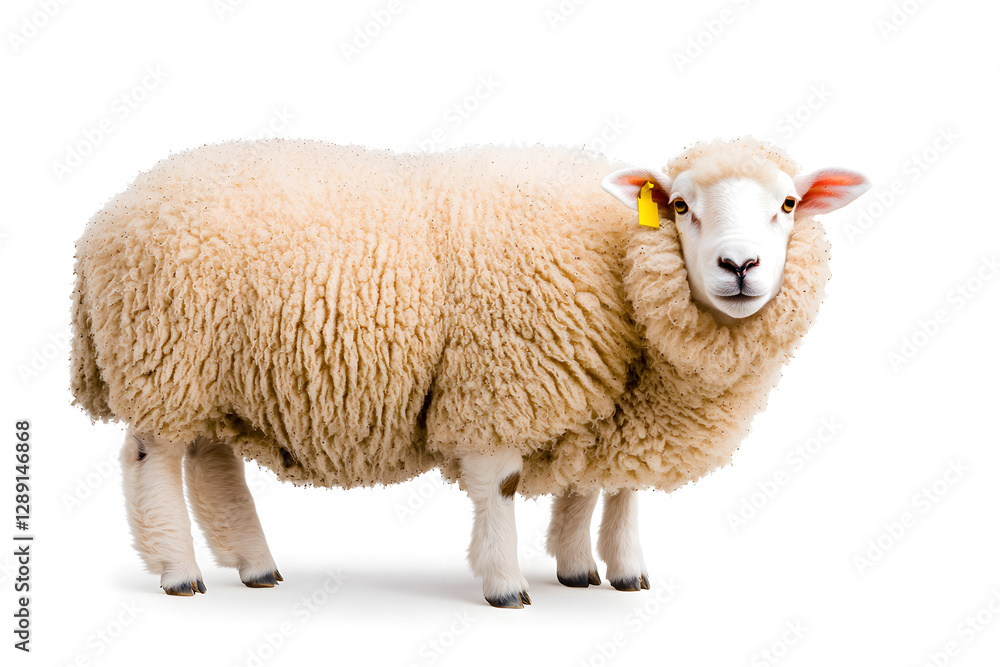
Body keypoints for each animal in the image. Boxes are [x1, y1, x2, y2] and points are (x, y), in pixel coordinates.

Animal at [70, 137, 869, 607]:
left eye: (788, 204)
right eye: (678, 206)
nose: (740, 266)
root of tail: (106, 216)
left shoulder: (604, 405)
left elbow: (606, 489)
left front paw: (599, 570)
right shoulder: (502, 384)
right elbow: (504, 488)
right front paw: (507, 582)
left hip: (216, 375)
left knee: (213, 464)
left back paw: (255, 564)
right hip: (164, 357)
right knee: (152, 462)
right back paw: (180, 572)